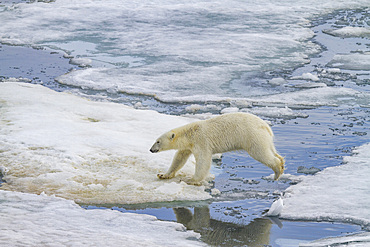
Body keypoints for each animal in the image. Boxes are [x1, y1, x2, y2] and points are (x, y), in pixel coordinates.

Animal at [149, 113, 284, 184]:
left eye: (158, 141)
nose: (151, 149)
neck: (189, 133)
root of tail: (266, 126)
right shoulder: (188, 146)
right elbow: (179, 158)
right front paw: (163, 175)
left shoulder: (201, 141)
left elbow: (203, 160)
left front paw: (191, 179)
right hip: (264, 138)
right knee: (272, 150)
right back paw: (281, 162)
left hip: (253, 136)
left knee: (261, 153)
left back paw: (277, 171)